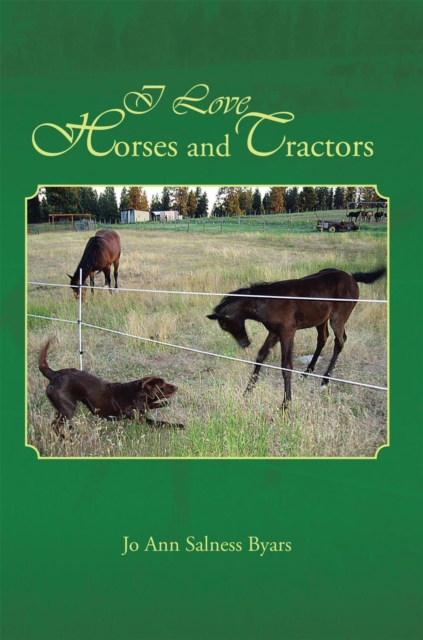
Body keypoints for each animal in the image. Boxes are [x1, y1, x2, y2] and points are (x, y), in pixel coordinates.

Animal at [207, 267, 386, 407]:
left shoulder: (287, 331)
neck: (266, 301)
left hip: (338, 317)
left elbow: (286, 365)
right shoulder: (275, 332)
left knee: (339, 341)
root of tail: (352, 277)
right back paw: (307, 372)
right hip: (321, 318)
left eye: (224, 325)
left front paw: (286, 404)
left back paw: (325, 380)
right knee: (323, 338)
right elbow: (261, 356)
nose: (245, 343)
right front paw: (248, 391)